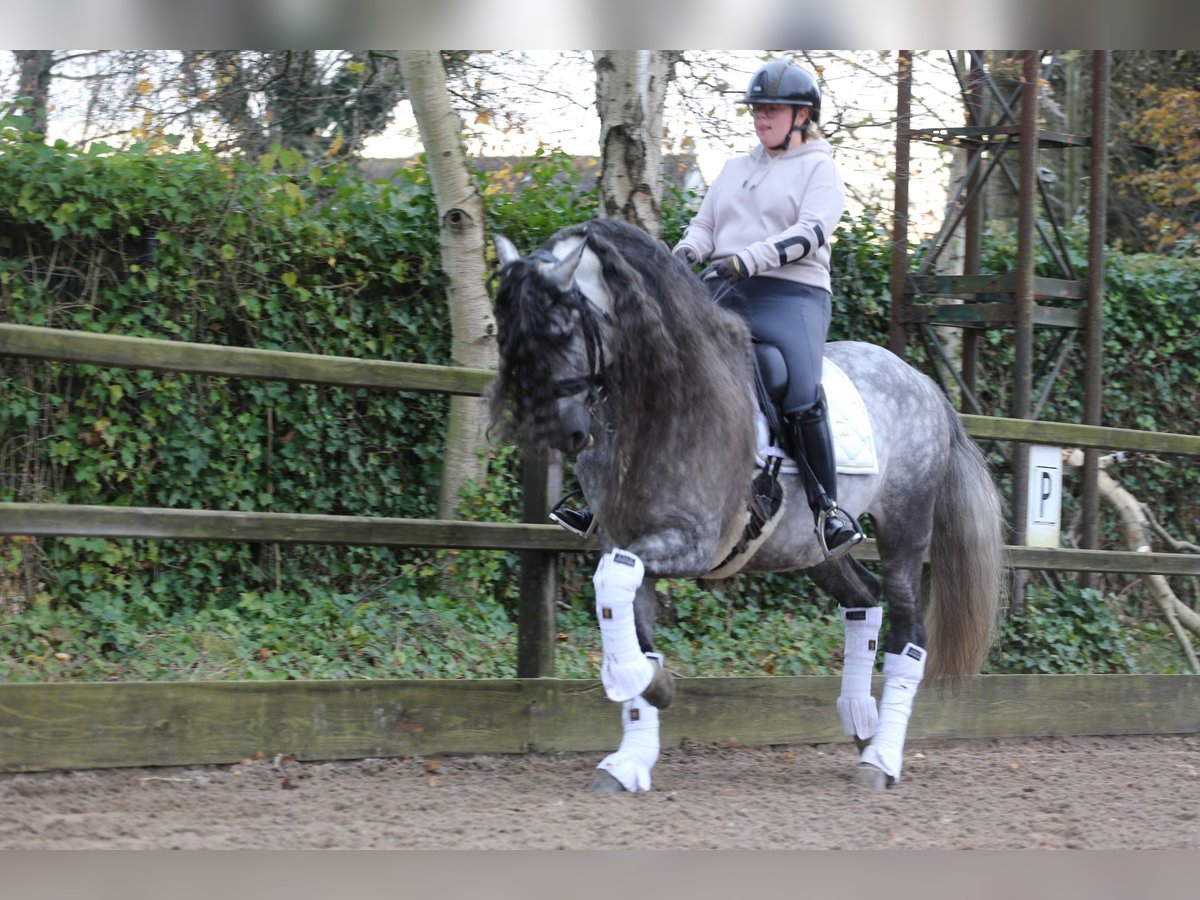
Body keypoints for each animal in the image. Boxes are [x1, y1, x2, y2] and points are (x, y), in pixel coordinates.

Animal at [484, 218, 1003, 796]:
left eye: (560, 331)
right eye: (506, 333)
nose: (564, 434)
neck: (658, 404)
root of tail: (925, 384)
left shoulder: (694, 542)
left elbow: (614, 588)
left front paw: (643, 686)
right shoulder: (625, 539)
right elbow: (624, 610)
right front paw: (633, 746)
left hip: (905, 528)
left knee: (908, 632)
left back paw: (882, 759)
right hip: (809, 547)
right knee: (863, 599)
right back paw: (861, 722)